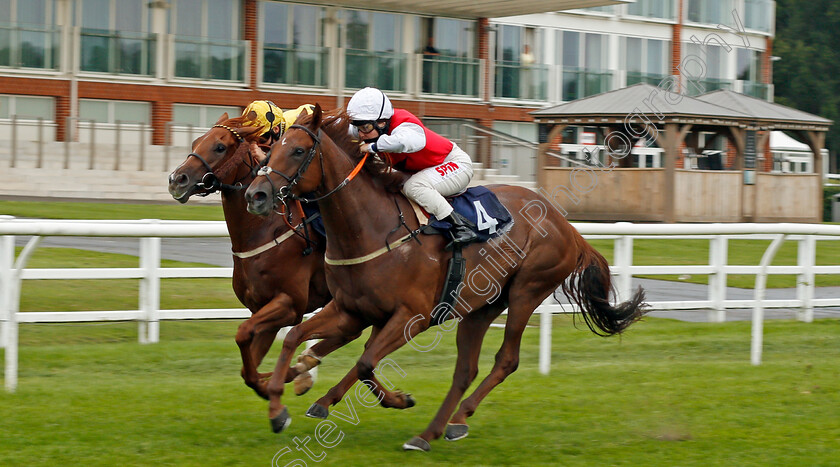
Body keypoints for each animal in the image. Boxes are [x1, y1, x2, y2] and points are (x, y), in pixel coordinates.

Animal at [167, 114, 358, 402]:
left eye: (219, 147)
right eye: (196, 141)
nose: (177, 179)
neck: (264, 230)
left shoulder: (289, 304)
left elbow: (243, 333)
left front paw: (278, 384)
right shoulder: (262, 309)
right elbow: (248, 367)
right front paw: (275, 382)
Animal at [243, 107, 648, 454]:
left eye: (297, 151)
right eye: (270, 151)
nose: (256, 195)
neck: (371, 228)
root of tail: (567, 226)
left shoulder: (413, 316)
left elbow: (365, 362)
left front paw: (390, 399)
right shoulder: (350, 310)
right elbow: (298, 338)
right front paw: (279, 406)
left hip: (527, 291)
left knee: (506, 360)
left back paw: (458, 419)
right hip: (482, 306)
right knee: (465, 370)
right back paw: (429, 433)